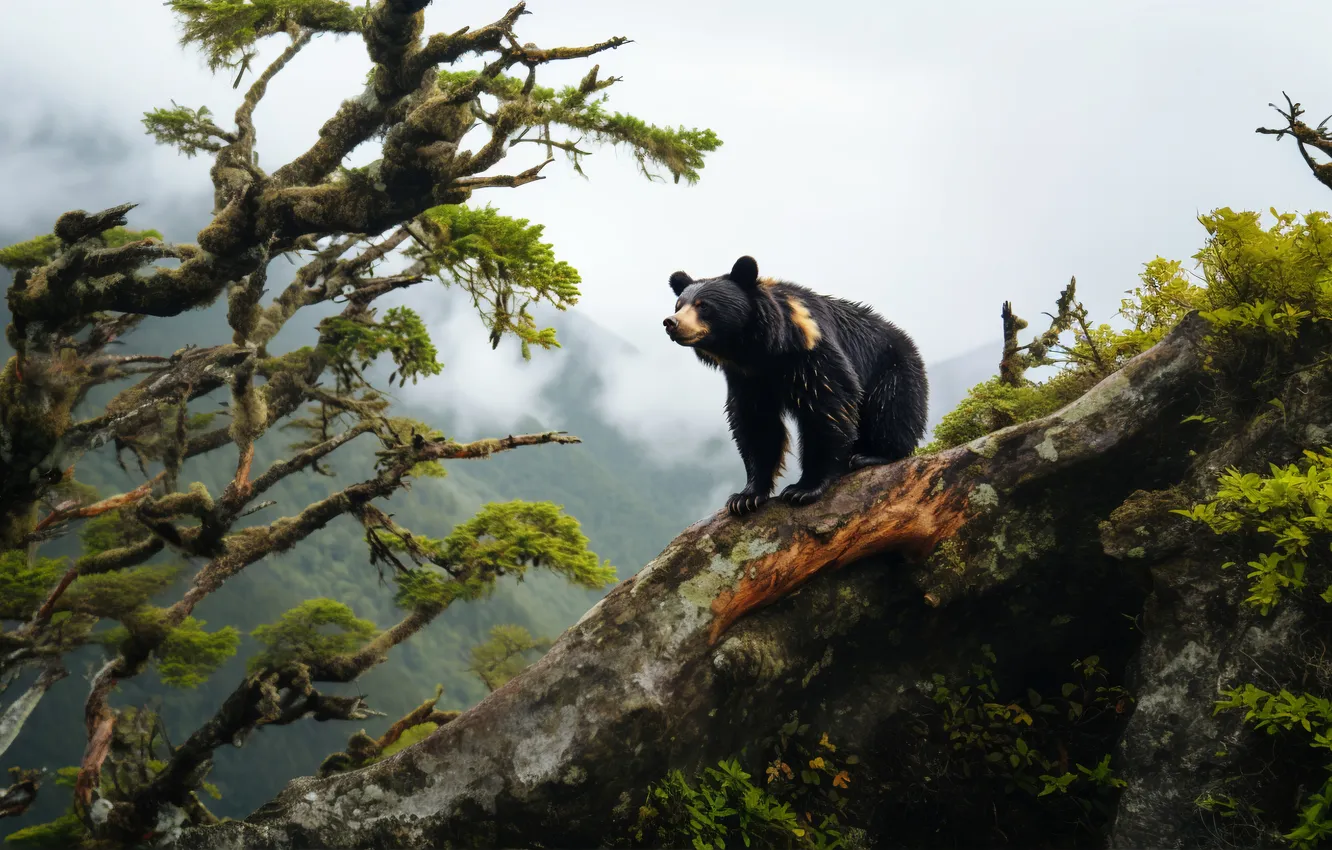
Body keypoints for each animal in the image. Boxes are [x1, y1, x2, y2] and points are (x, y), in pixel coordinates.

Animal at [663, 255, 929, 517]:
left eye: (703, 305)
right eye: (679, 305)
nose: (671, 322)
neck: (759, 351)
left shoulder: (810, 354)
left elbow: (827, 410)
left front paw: (803, 489)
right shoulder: (747, 379)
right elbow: (756, 425)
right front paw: (744, 497)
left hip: (892, 369)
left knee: (892, 408)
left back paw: (873, 455)